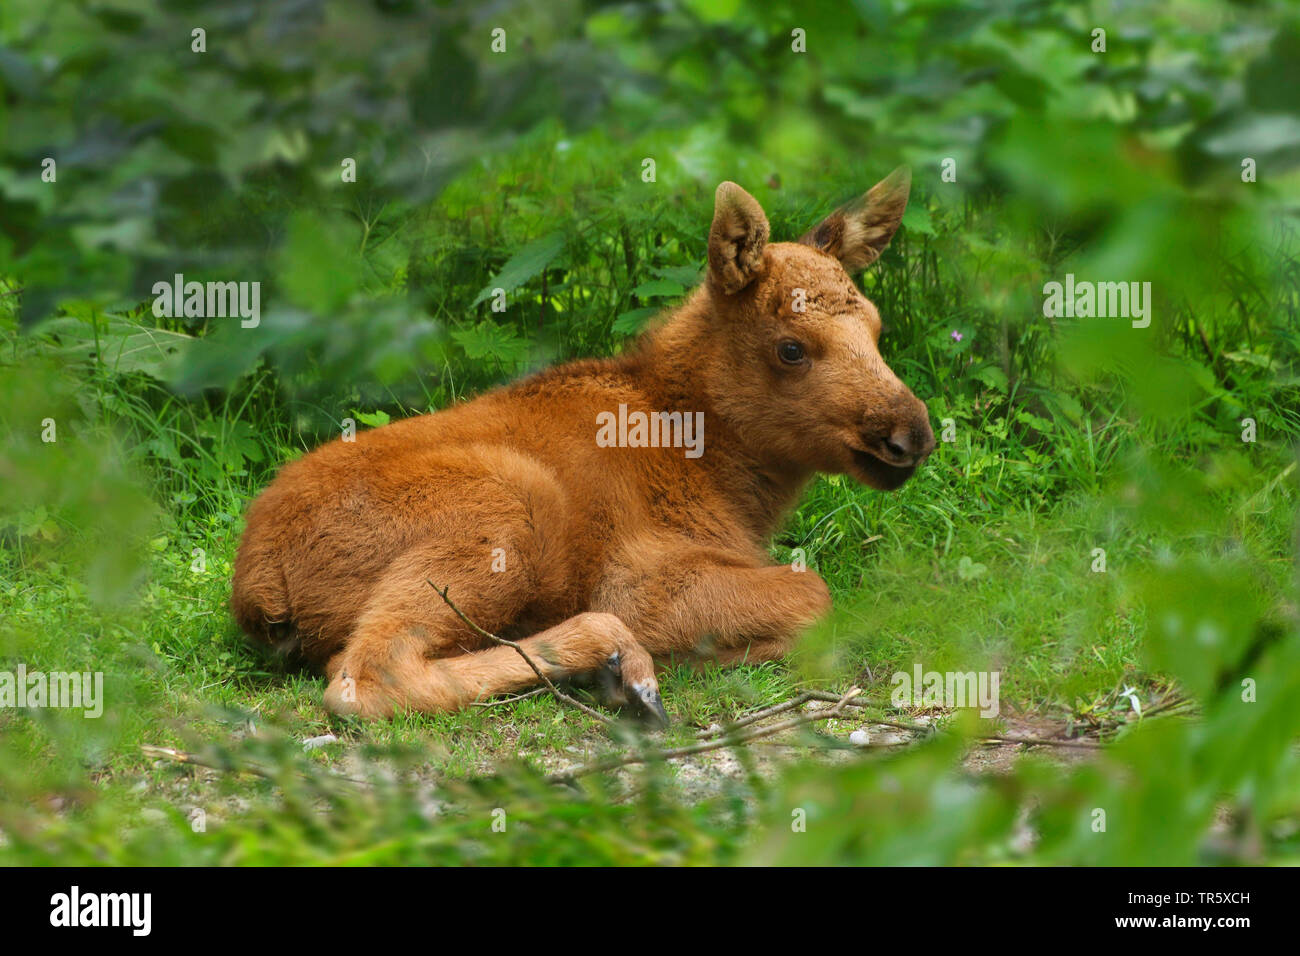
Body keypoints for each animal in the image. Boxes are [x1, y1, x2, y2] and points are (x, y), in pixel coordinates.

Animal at [228, 171, 930, 723]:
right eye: (790, 347)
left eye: (876, 328)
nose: (911, 435)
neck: (719, 467)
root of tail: (259, 585)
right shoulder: (642, 579)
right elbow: (814, 594)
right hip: (508, 507)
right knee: (364, 677)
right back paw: (619, 664)